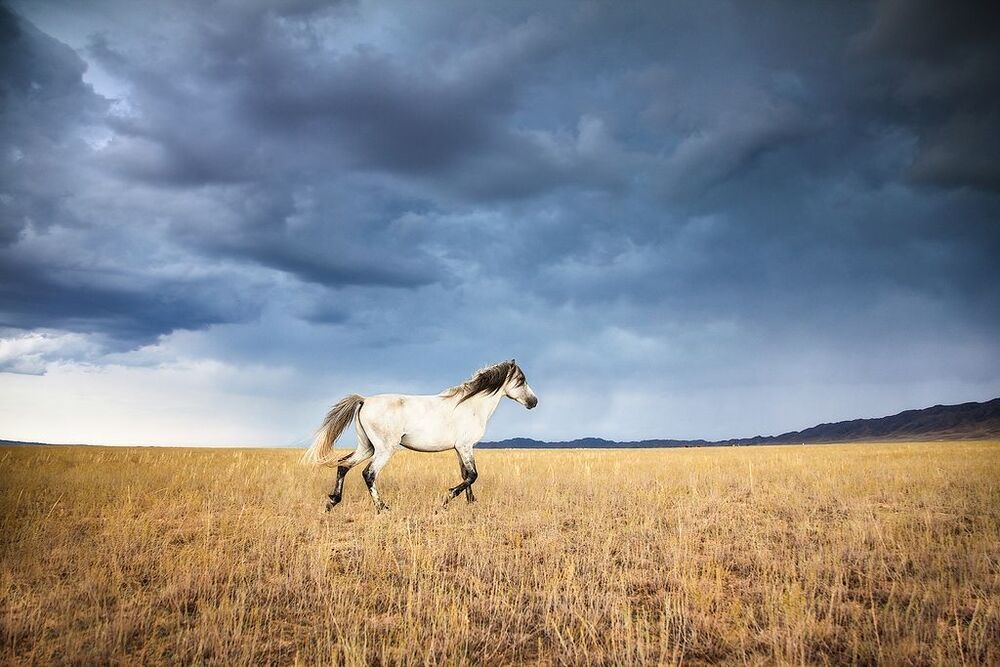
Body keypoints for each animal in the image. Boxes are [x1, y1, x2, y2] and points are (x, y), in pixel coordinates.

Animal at [302, 359, 538, 512]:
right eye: (522, 379)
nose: (533, 402)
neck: (471, 405)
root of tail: (364, 400)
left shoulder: (460, 448)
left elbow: (465, 475)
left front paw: (471, 503)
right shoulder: (465, 446)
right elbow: (472, 475)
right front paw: (446, 499)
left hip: (367, 446)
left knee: (343, 465)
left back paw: (332, 502)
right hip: (385, 449)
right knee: (368, 473)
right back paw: (382, 508)